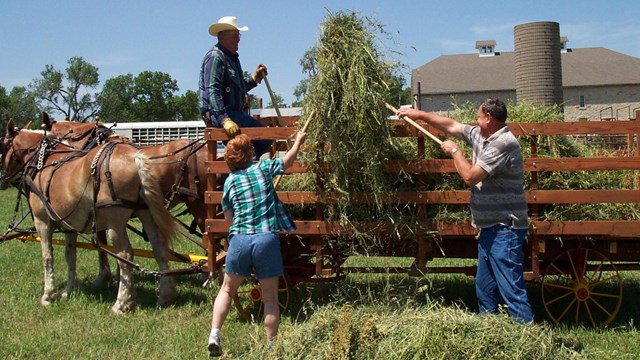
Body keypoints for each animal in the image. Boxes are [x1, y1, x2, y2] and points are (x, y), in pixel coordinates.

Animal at [2, 119, 179, 314]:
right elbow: (70, 256)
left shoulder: (43, 222)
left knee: (125, 255)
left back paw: (122, 303)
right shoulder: (69, 226)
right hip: (146, 214)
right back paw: (166, 296)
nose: (2, 178)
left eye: (2, 144)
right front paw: (69, 291)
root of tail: (135, 157)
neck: (44, 162)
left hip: (115, 222)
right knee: (159, 249)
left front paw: (48, 295)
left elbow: (47, 256)